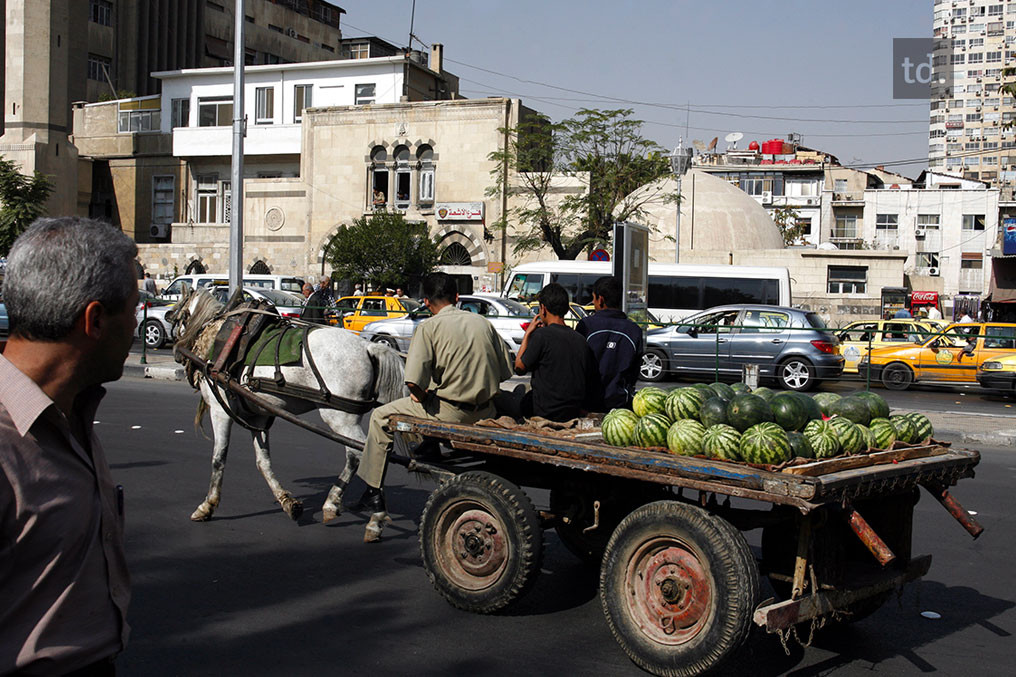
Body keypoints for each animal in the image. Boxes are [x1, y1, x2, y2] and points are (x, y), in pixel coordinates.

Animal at [166, 286, 404, 540]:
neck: (215, 334)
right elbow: (263, 462)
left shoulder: (220, 410)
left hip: (340, 417)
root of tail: (369, 346)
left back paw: (363, 512)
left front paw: (207, 505)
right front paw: (288, 502)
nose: (177, 352)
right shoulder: (259, 416)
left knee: (359, 452)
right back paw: (362, 502)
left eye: (178, 317)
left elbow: (218, 459)